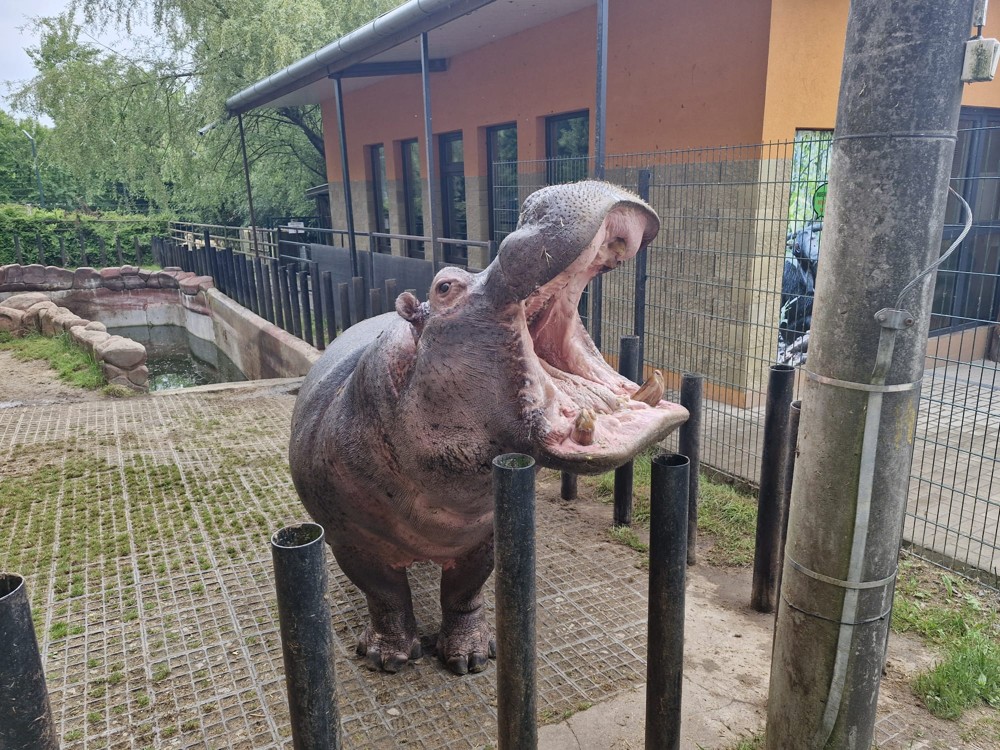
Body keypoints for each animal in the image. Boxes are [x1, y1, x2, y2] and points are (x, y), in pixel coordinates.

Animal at [288, 181, 688, 675]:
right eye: (444, 286)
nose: (535, 202)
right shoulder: (350, 540)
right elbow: (384, 596)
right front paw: (389, 657)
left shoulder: (487, 532)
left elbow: (465, 592)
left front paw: (469, 658)